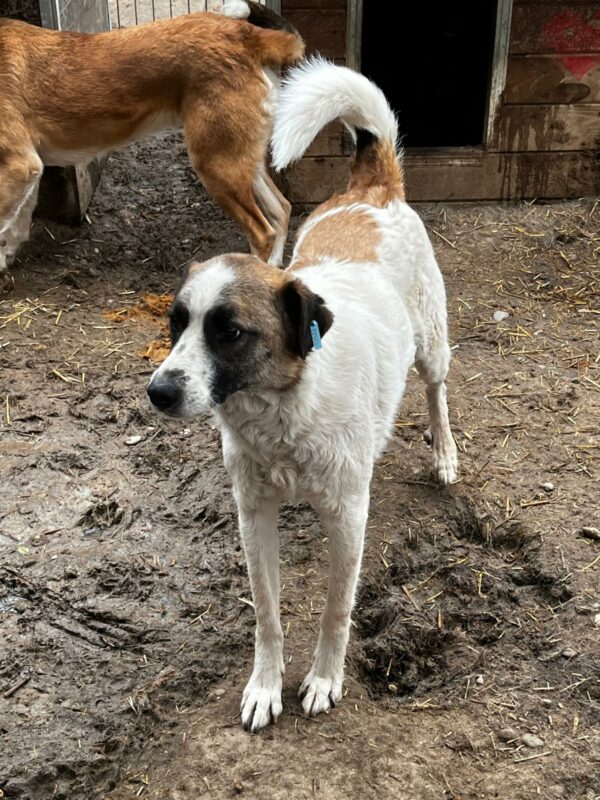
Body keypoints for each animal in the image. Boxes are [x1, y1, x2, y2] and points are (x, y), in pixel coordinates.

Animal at [0, 1, 302, 282]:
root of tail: (246, 34)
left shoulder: (20, 166)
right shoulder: (31, 169)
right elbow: (17, 223)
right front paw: (7, 259)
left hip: (216, 165)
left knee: (262, 233)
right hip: (239, 160)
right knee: (281, 210)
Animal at [148, 57, 458, 732]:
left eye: (229, 331)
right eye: (176, 324)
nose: (157, 391)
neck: (284, 413)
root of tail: (372, 190)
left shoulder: (347, 518)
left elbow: (335, 610)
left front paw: (323, 679)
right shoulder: (253, 515)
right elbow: (267, 613)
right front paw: (265, 686)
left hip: (432, 344)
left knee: (436, 391)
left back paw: (445, 452)